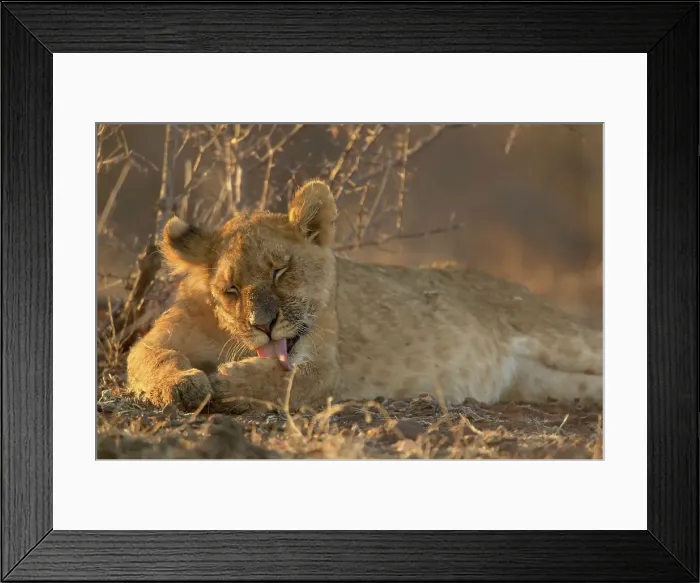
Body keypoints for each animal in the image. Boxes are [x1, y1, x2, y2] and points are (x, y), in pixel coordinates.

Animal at [126, 179, 603, 412]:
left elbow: (292, 382)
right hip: (538, 382)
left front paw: (228, 383)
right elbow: (152, 358)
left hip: (558, 334)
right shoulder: (160, 338)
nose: (264, 325)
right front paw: (184, 385)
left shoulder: (326, 366)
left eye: (281, 270)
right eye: (230, 290)